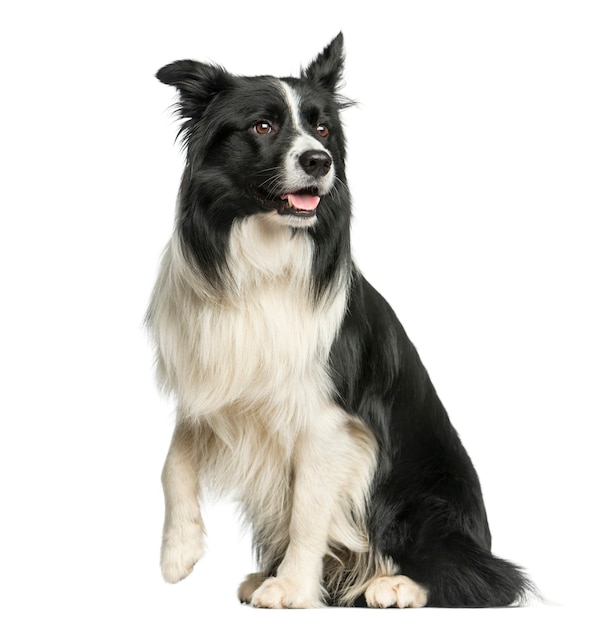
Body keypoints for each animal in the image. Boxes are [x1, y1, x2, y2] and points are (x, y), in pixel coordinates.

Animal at [148, 33, 532, 604]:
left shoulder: (328, 422)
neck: (265, 262)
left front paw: (291, 587)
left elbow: (309, 510)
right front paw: (179, 551)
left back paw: (393, 584)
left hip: (425, 494)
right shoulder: (217, 387)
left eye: (323, 127)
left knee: (476, 574)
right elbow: (173, 459)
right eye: (262, 126)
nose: (318, 160)